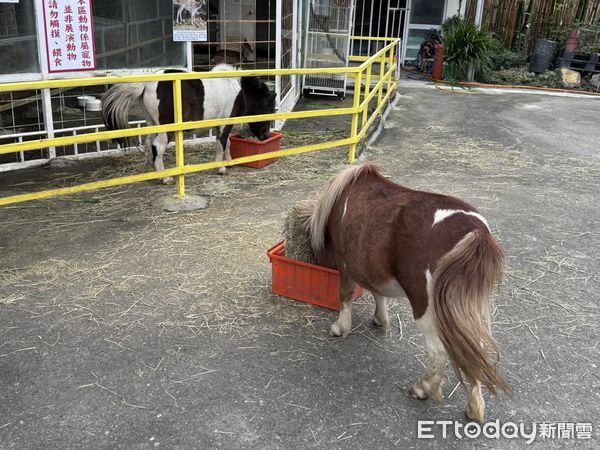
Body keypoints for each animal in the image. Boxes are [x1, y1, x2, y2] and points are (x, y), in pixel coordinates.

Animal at [102, 63, 276, 183]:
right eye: (269, 108)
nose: (266, 136)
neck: (237, 89)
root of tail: (145, 84)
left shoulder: (221, 125)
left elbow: (226, 143)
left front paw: (229, 161)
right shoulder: (225, 123)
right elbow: (222, 144)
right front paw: (221, 168)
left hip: (152, 124)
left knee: (147, 143)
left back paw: (150, 170)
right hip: (165, 128)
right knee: (157, 146)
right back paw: (165, 178)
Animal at [304, 163, 510, 424]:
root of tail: (474, 233)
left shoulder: (346, 263)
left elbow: (346, 295)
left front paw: (340, 328)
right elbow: (377, 292)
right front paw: (380, 319)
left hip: (427, 308)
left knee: (439, 351)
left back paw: (423, 388)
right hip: (469, 310)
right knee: (472, 349)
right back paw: (474, 408)